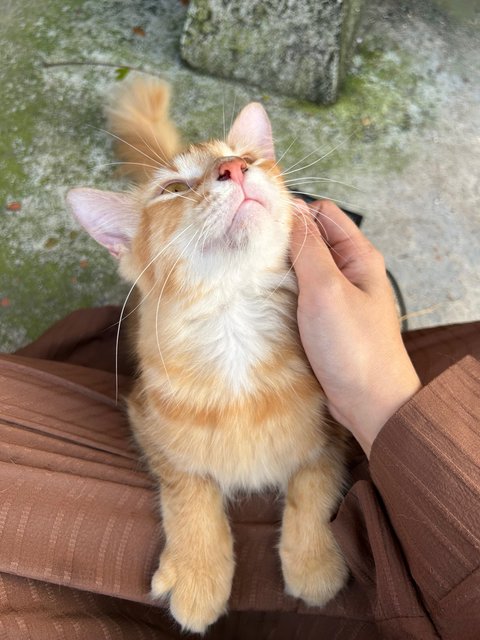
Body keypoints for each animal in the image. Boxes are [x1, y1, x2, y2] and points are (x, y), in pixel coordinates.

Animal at [67, 77, 348, 632]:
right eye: (173, 189)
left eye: (247, 158)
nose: (234, 168)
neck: (234, 326)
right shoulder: (146, 421)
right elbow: (189, 488)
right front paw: (199, 572)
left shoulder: (336, 433)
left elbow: (313, 484)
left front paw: (313, 562)